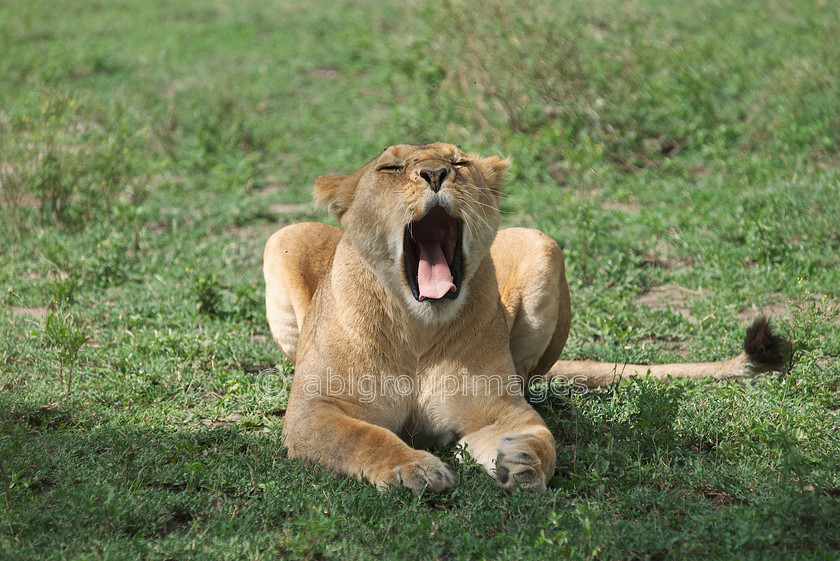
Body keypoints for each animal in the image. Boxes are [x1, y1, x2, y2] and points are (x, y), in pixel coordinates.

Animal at [262, 142, 788, 492]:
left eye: (459, 163)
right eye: (390, 167)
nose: (434, 174)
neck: (417, 326)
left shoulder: (499, 409)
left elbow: (542, 436)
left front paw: (523, 461)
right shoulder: (313, 411)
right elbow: (363, 437)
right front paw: (414, 468)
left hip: (542, 246)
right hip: (282, 238)